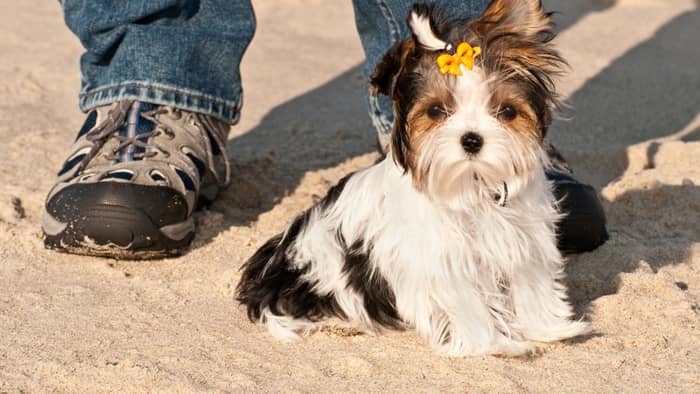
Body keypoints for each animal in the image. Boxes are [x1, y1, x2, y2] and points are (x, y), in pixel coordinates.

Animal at [237, 0, 592, 358]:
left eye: (506, 111)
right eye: (436, 111)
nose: (472, 139)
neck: (472, 185)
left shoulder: (524, 242)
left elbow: (531, 286)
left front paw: (549, 329)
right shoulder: (445, 264)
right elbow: (470, 308)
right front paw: (496, 344)